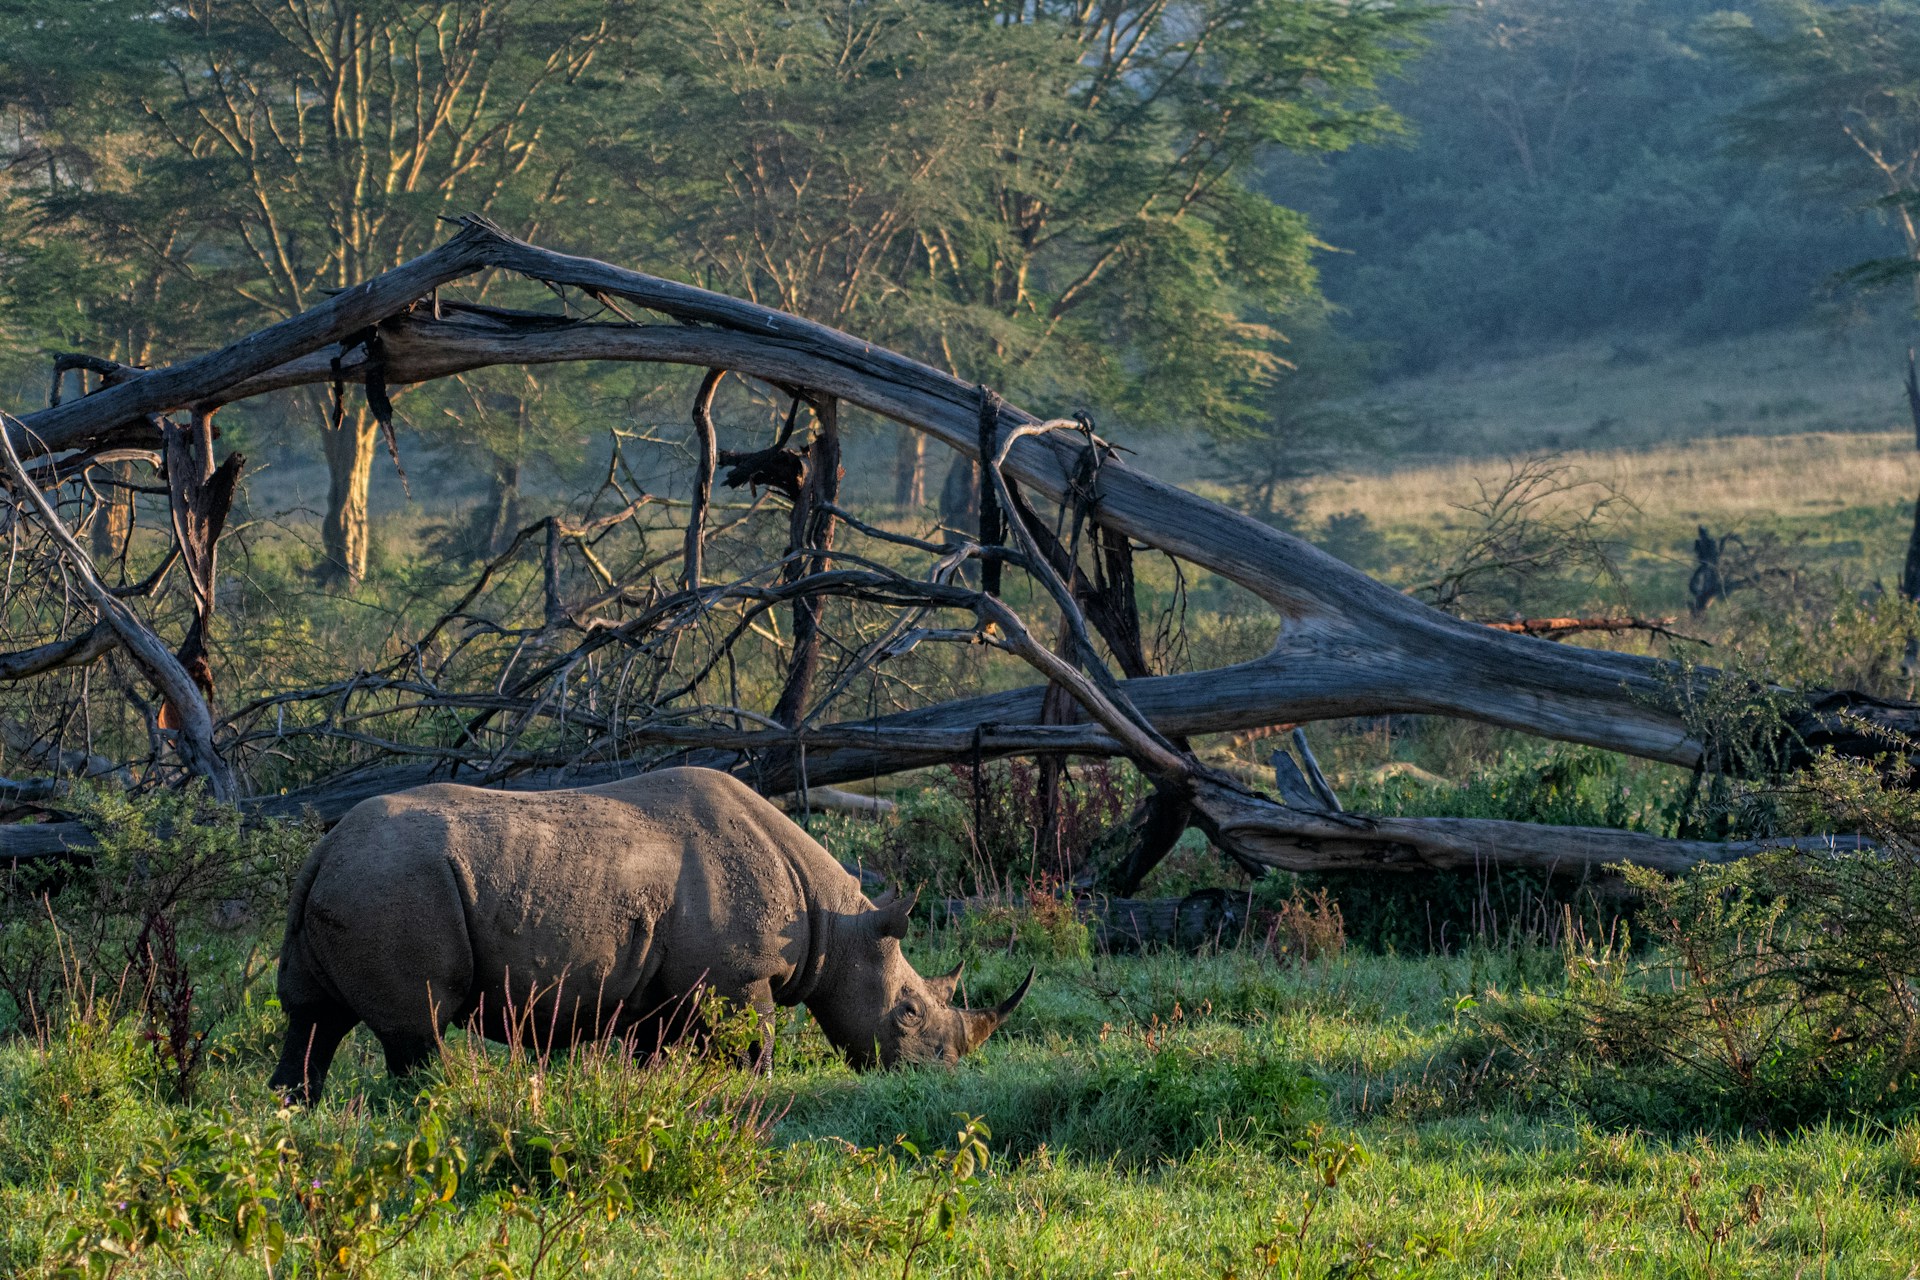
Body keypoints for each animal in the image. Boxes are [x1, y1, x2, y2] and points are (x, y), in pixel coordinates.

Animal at [268, 767, 1030, 1101]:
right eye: (907, 1013)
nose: (940, 1075)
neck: (832, 922)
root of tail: (322, 850)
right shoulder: (737, 980)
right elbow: (755, 1050)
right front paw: (754, 1100)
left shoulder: (662, 988)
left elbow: (652, 1054)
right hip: (398, 883)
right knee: (417, 1027)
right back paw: (442, 1103)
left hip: (356, 881)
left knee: (311, 1017)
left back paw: (294, 1110)